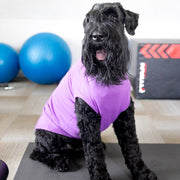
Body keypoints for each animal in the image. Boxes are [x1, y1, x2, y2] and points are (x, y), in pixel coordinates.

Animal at [30, 2, 157, 180]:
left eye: (114, 16)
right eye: (90, 19)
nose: (97, 36)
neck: (108, 76)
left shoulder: (125, 115)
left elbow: (132, 147)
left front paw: (142, 172)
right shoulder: (88, 118)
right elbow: (94, 154)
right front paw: (100, 176)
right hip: (49, 136)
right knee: (37, 153)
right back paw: (59, 162)